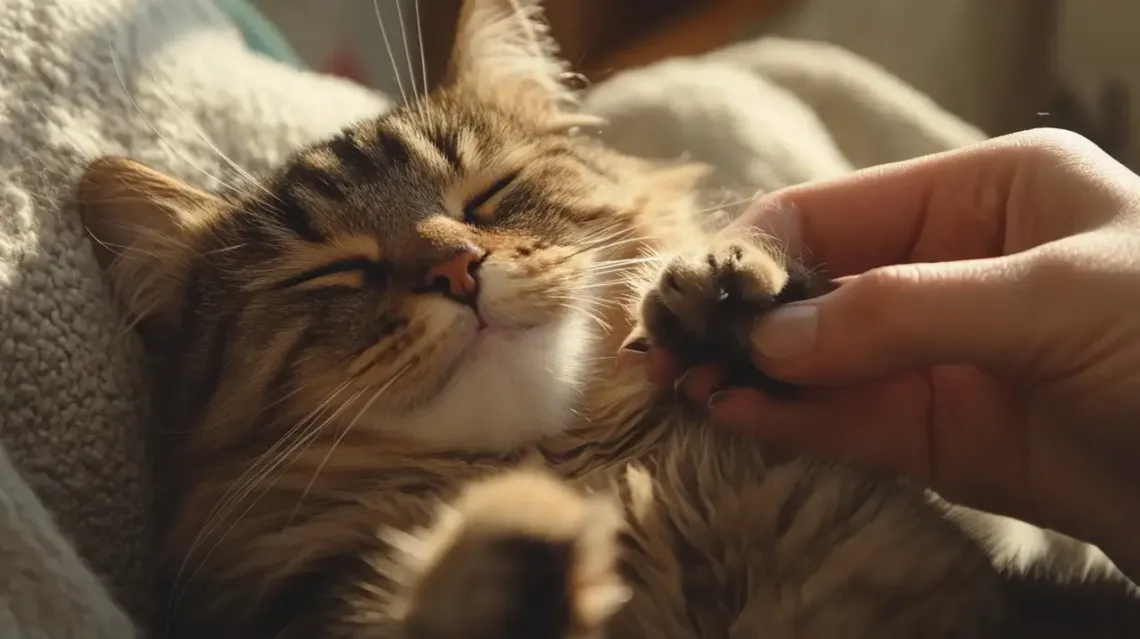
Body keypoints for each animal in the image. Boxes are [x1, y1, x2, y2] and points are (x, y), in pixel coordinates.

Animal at [75, 1, 1140, 637]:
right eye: (336, 270)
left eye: (490, 195)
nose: (456, 268)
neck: (588, 474)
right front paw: (512, 544)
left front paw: (725, 296)